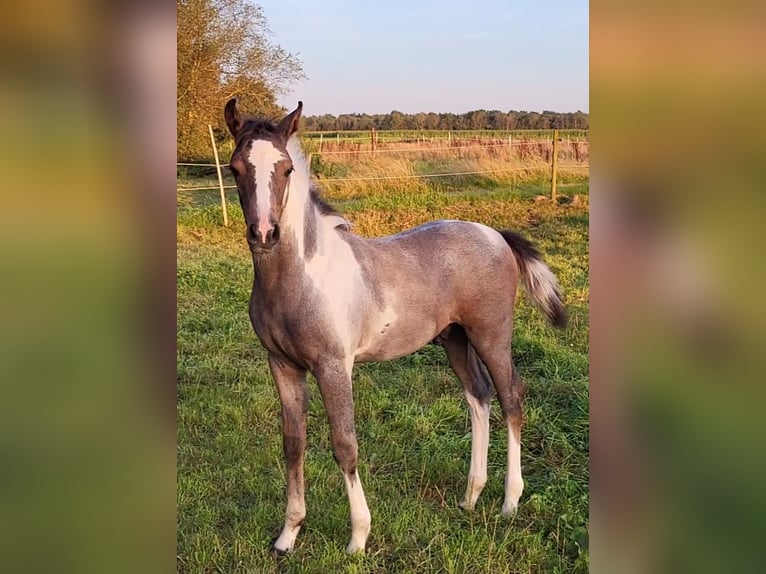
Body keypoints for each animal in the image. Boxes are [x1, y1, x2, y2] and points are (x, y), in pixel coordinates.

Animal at [225, 100, 568, 560]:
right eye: (235, 168)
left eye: (286, 169)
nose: (264, 233)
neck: (299, 278)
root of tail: (494, 234)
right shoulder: (281, 365)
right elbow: (293, 444)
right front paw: (287, 536)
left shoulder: (334, 366)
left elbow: (344, 445)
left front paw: (357, 538)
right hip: (454, 338)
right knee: (478, 396)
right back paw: (470, 496)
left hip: (492, 334)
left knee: (512, 397)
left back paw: (509, 502)